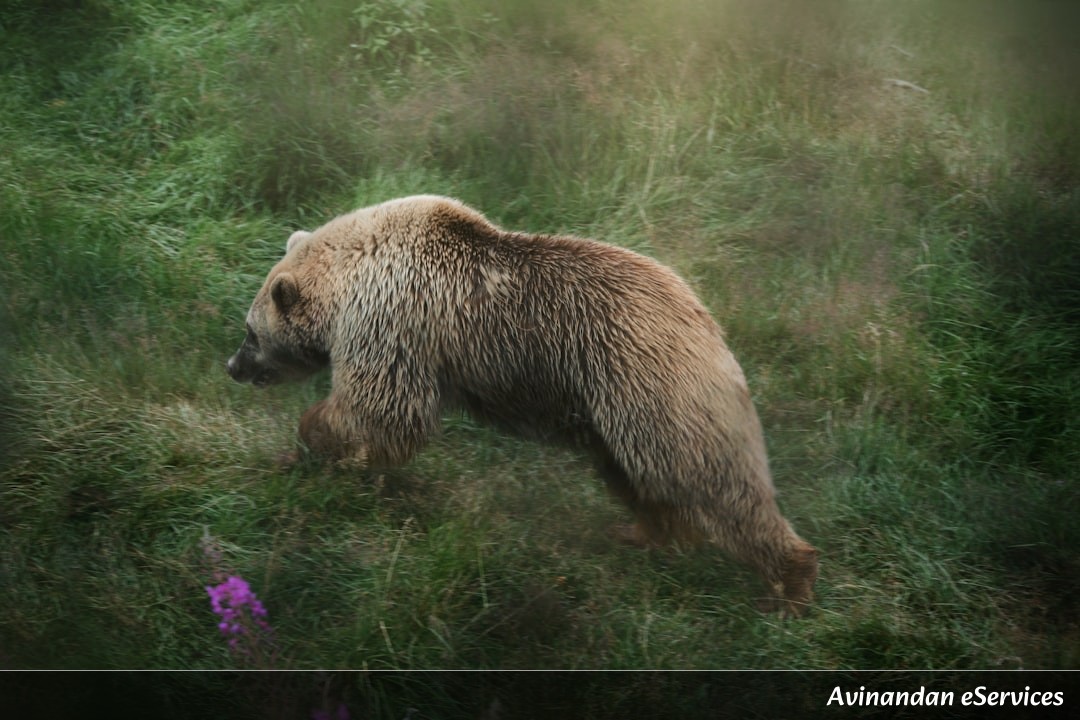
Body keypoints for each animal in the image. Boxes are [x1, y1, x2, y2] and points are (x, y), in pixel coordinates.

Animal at [226, 195, 818, 617]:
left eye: (251, 331)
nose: (234, 366)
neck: (351, 277)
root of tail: (706, 319)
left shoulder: (394, 321)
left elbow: (385, 408)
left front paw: (311, 436)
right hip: (611, 412)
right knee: (636, 476)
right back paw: (641, 533)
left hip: (645, 381)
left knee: (705, 472)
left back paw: (789, 581)